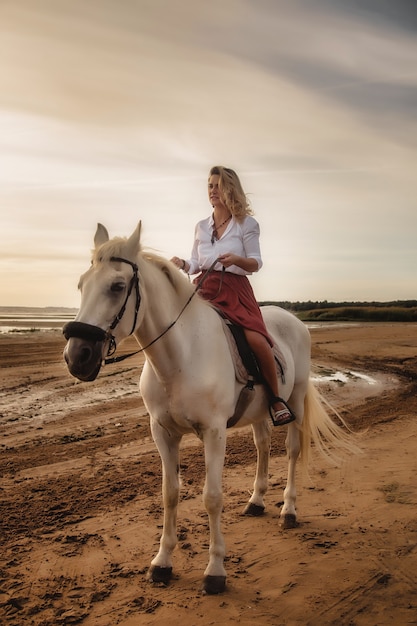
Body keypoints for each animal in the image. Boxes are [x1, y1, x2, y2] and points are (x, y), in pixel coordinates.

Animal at [63, 222, 360, 592]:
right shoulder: (162, 432)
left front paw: (215, 569)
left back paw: (288, 511)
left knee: (291, 451)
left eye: (117, 286)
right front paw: (162, 562)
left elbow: (212, 497)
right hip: (260, 412)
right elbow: (169, 494)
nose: (77, 357)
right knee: (263, 446)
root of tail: (293, 320)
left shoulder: (214, 433)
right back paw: (256, 501)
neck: (180, 358)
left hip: (295, 402)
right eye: (81, 284)